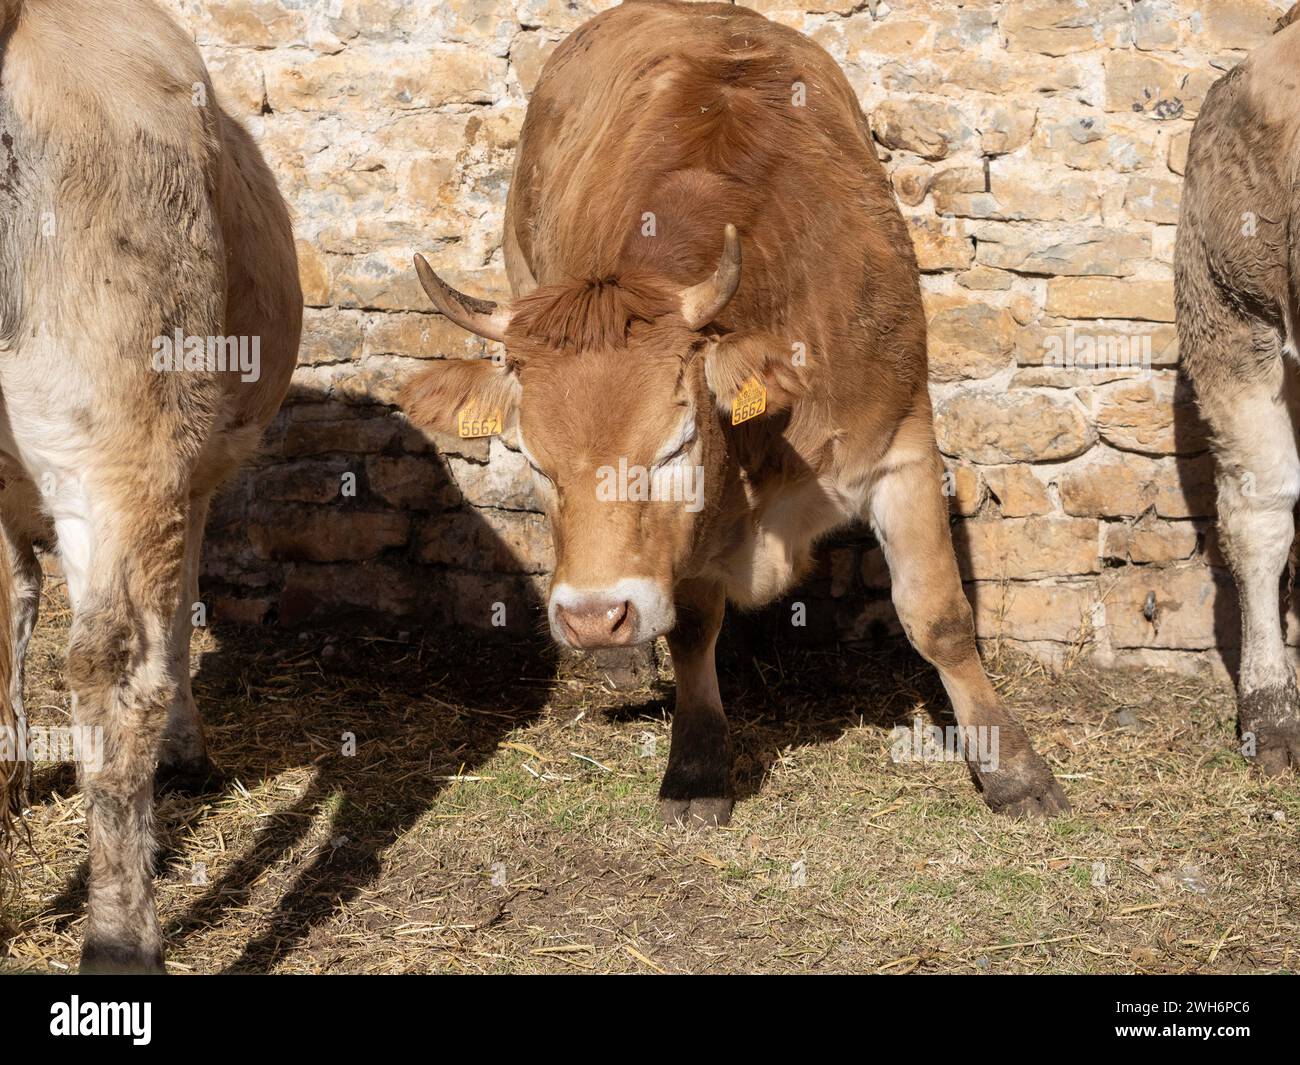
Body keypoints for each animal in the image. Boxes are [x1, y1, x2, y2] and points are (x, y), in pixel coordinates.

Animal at [0, 0, 302, 971]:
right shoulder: (186, 478)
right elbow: (174, 621)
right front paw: (186, 752)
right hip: (131, 438)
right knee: (115, 665)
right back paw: (120, 936)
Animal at [401, 0, 1069, 827]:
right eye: (533, 460)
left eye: (675, 446)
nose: (592, 616)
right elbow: (692, 628)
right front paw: (695, 765)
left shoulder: (902, 441)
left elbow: (938, 614)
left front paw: (1015, 770)